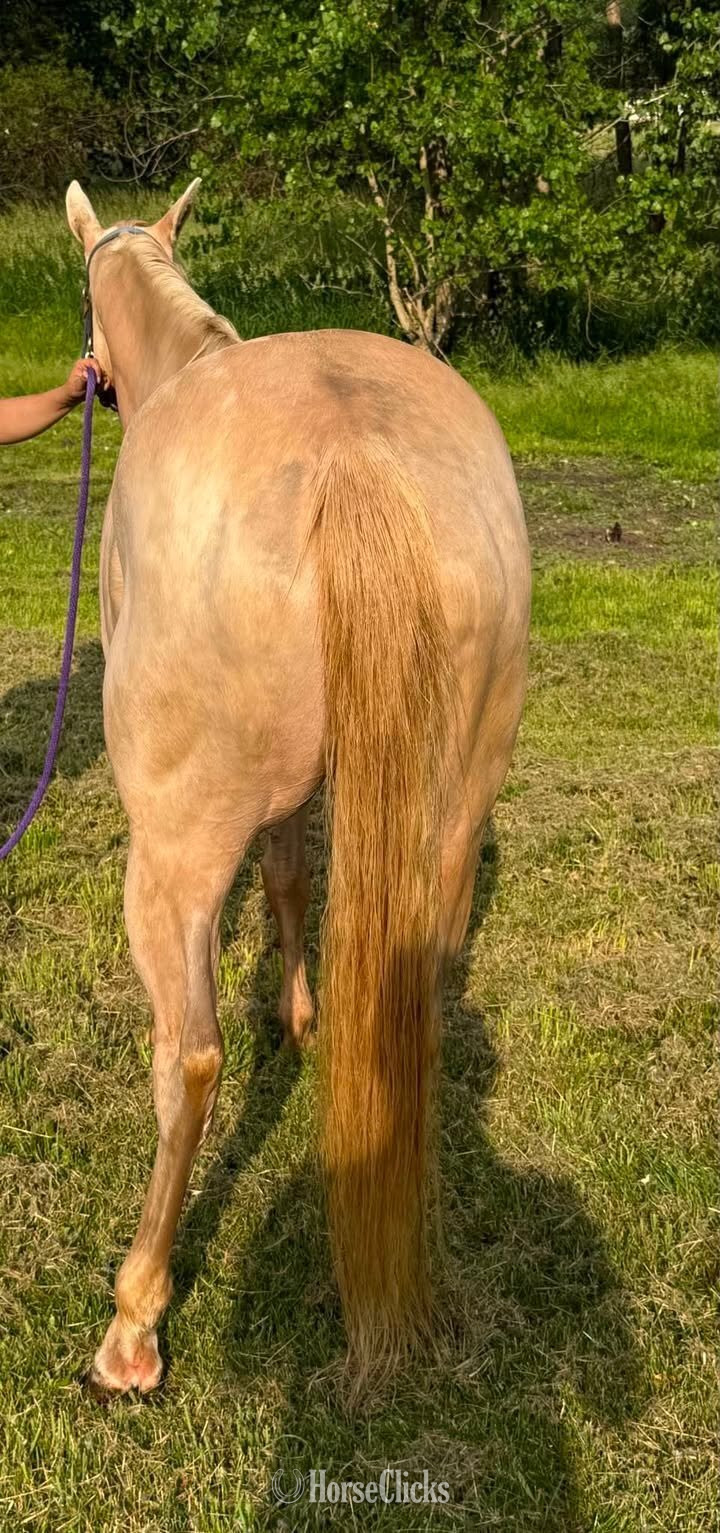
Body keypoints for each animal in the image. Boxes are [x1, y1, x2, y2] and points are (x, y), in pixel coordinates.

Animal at [65, 179, 531, 1397]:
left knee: (187, 1062)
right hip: (448, 823)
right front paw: (302, 1015)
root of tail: (349, 462)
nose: (90, 376)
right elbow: (287, 879)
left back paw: (134, 1321)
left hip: (170, 862)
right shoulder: (293, 804)